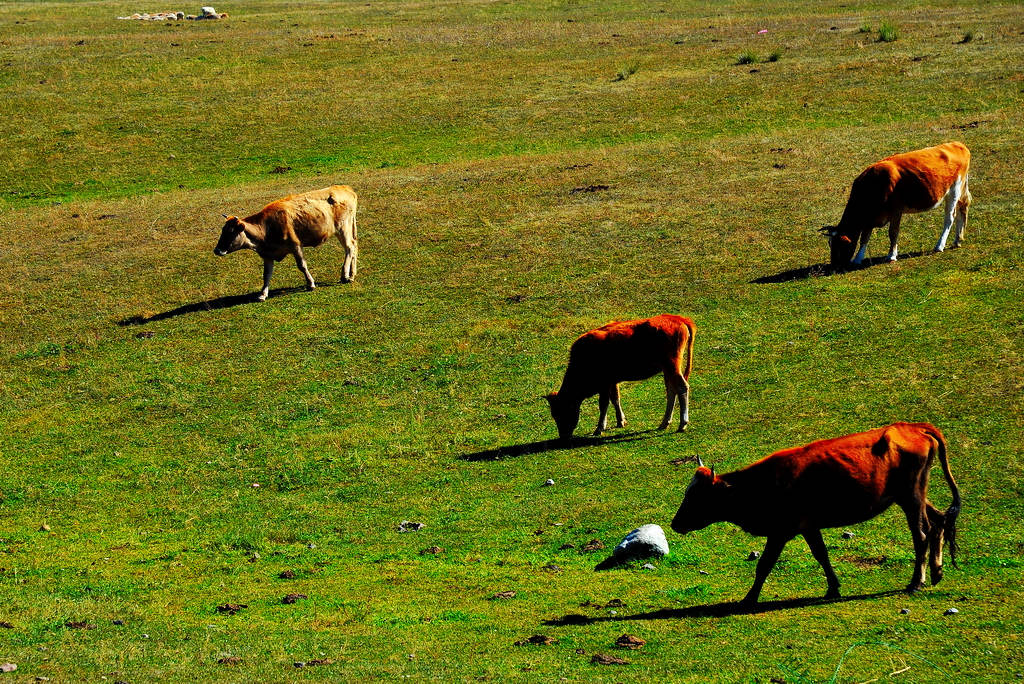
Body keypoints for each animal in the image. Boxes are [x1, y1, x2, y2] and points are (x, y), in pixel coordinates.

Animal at [214, 184, 358, 298]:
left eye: (231, 232)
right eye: (223, 230)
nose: (216, 250)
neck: (266, 227)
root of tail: (346, 188)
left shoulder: (296, 245)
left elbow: (302, 265)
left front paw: (310, 284)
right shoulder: (268, 254)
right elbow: (266, 274)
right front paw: (263, 294)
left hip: (343, 227)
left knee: (350, 247)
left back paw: (344, 275)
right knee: (353, 247)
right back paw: (352, 275)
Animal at [544, 315, 696, 444]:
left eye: (561, 412)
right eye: (553, 414)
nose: (563, 436)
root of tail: (679, 319)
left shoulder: (604, 384)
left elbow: (604, 404)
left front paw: (599, 428)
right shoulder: (612, 381)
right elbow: (615, 398)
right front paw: (620, 421)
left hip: (672, 365)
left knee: (682, 387)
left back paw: (682, 423)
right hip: (667, 369)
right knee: (671, 390)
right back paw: (664, 423)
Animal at [671, 421, 958, 602]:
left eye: (697, 496)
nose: (675, 524)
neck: (763, 484)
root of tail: (913, 427)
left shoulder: (781, 532)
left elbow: (764, 565)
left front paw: (749, 598)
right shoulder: (809, 527)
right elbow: (821, 555)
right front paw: (833, 588)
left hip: (911, 498)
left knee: (922, 535)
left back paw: (916, 582)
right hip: (912, 496)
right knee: (939, 521)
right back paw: (937, 572)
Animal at [819, 142, 970, 270]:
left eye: (841, 245)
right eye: (830, 244)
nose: (834, 267)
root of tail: (958, 144)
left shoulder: (896, 210)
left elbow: (893, 232)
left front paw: (891, 256)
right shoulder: (870, 219)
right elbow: (864, 237)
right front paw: (858, 258)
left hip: (954, 189)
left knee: (950, 218)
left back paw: (940, 245)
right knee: (962, 208)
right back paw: (957, 240)